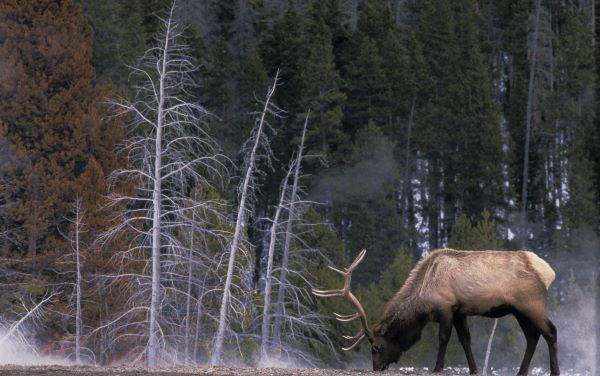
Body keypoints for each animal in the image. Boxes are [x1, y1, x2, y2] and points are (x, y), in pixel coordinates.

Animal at [312, 248, 560, 374]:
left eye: (376, 347)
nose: (377, 368)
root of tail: (549, 271)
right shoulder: (460, 311)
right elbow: (465, 340)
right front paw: (473, 369)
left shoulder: (446, 307)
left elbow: (444, 338)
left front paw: (437, 368)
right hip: (519, 310)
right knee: (532, 337)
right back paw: (521, 372)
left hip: (531, 303)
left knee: (550, 332)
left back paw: (555, 371)